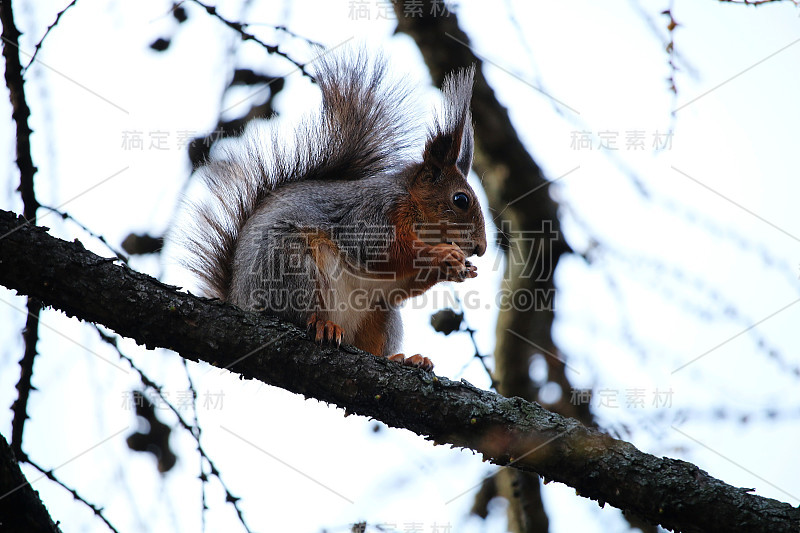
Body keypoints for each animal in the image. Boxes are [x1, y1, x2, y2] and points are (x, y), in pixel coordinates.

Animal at [182, 52, 488, 372]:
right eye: (461, 199)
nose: (480, 248)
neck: (416, 211)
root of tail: (237, 298)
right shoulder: (371, 214)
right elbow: (381, 252)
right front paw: (444, 255)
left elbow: (403, 280)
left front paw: (461, 268)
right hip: (288, 265)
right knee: (297, 314)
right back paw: (323, 325)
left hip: (380, 314)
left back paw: (403, 358)